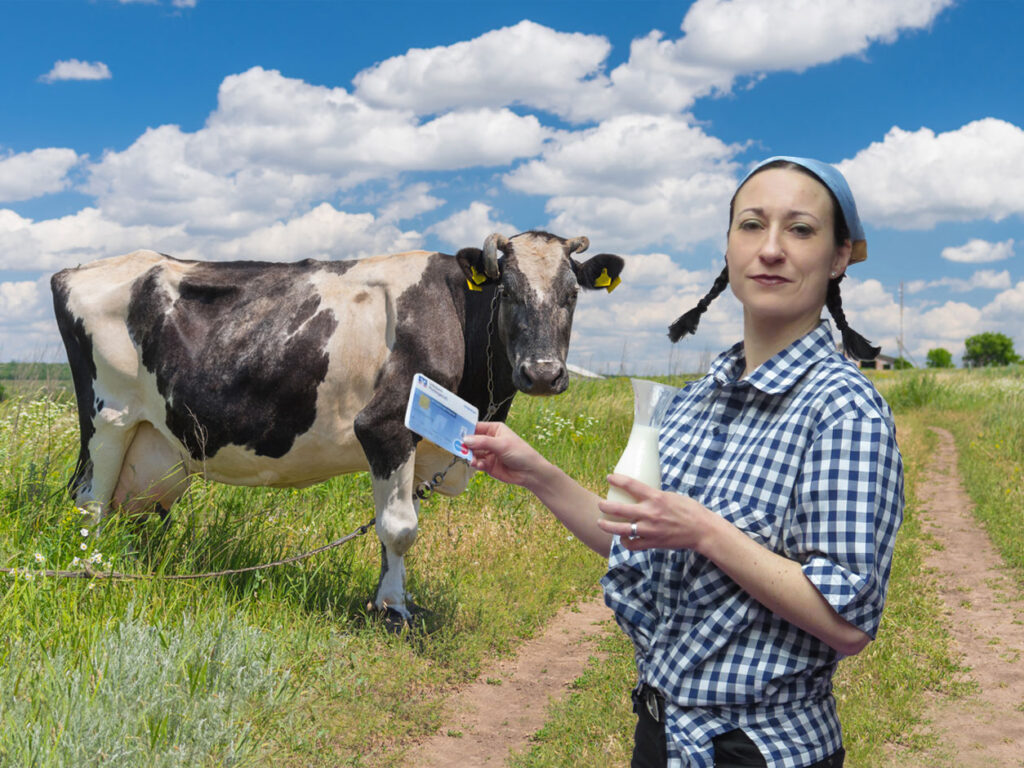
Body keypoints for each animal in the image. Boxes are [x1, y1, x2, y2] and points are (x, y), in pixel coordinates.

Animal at [54, 231, 622, 622]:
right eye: (508, 290)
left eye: (572, 294)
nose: (543, 373)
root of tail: (78, 271)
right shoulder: (385, 425)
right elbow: (400, 527)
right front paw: (393, 612)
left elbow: (396, 525)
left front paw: (387, 598)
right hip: (108, 420)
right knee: (89, 502)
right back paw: (91, 571)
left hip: (155, 448)